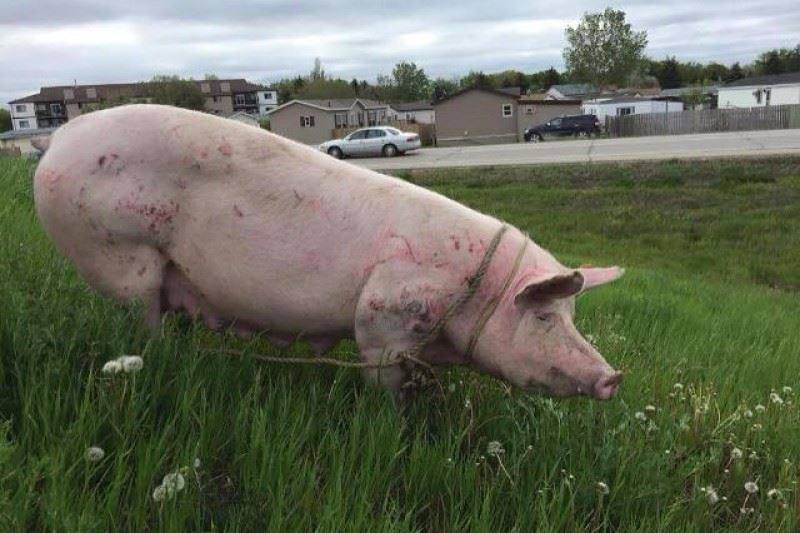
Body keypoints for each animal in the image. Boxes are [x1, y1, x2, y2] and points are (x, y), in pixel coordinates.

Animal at [33, 104, 624, 400]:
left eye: (571, 314)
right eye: (544, 316)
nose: (613, 377)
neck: (473, 292)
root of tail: (62, 135)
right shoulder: (383, 318)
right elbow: (384, 382)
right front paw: (394, 422)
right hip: (119, 252)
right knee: (142, 316)